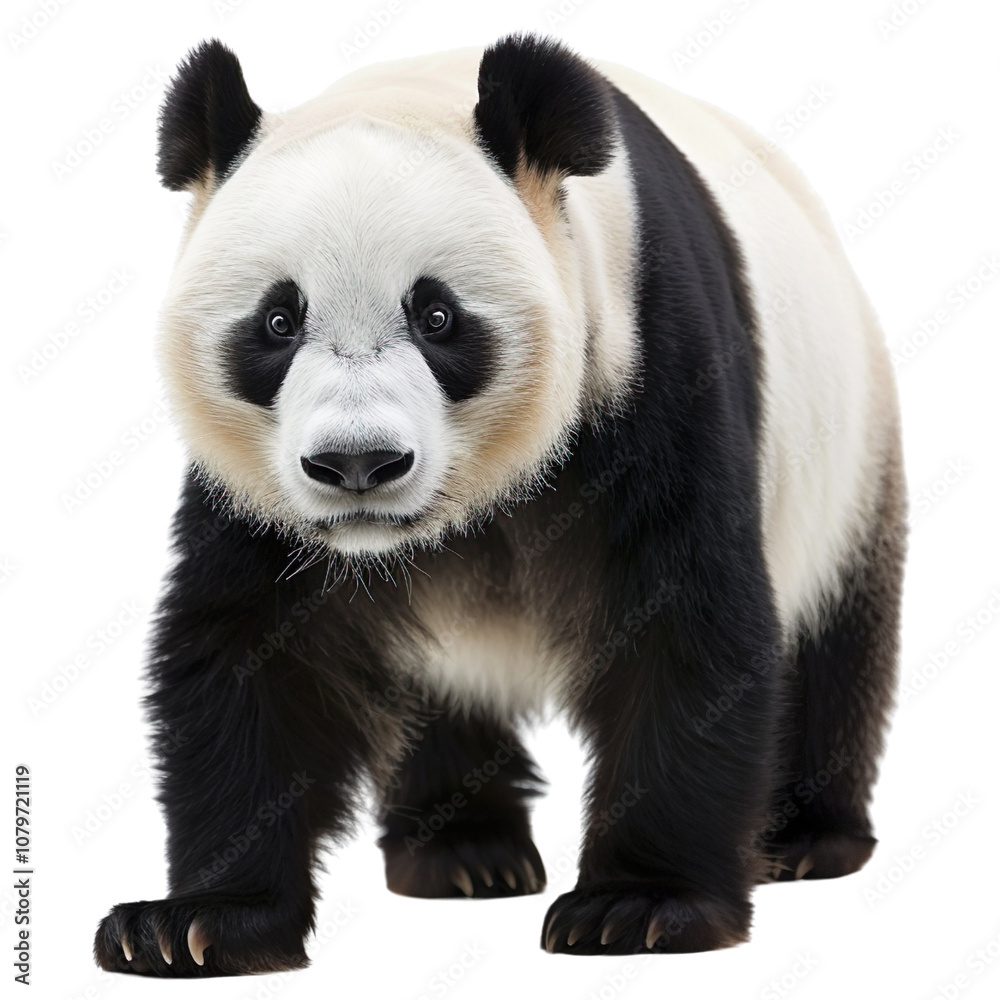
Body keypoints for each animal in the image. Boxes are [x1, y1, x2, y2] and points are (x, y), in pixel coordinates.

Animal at [94, 33, 906, 975]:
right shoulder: (257, 495)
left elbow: (682, 626)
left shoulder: (649, 369)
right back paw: (463, 852)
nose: (358, 463)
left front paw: (639, 907)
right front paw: (195, 924)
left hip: (849, 464)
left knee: (831, 645)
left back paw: (806, 837)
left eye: (438, 316)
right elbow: (254, 653)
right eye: (277, 322)